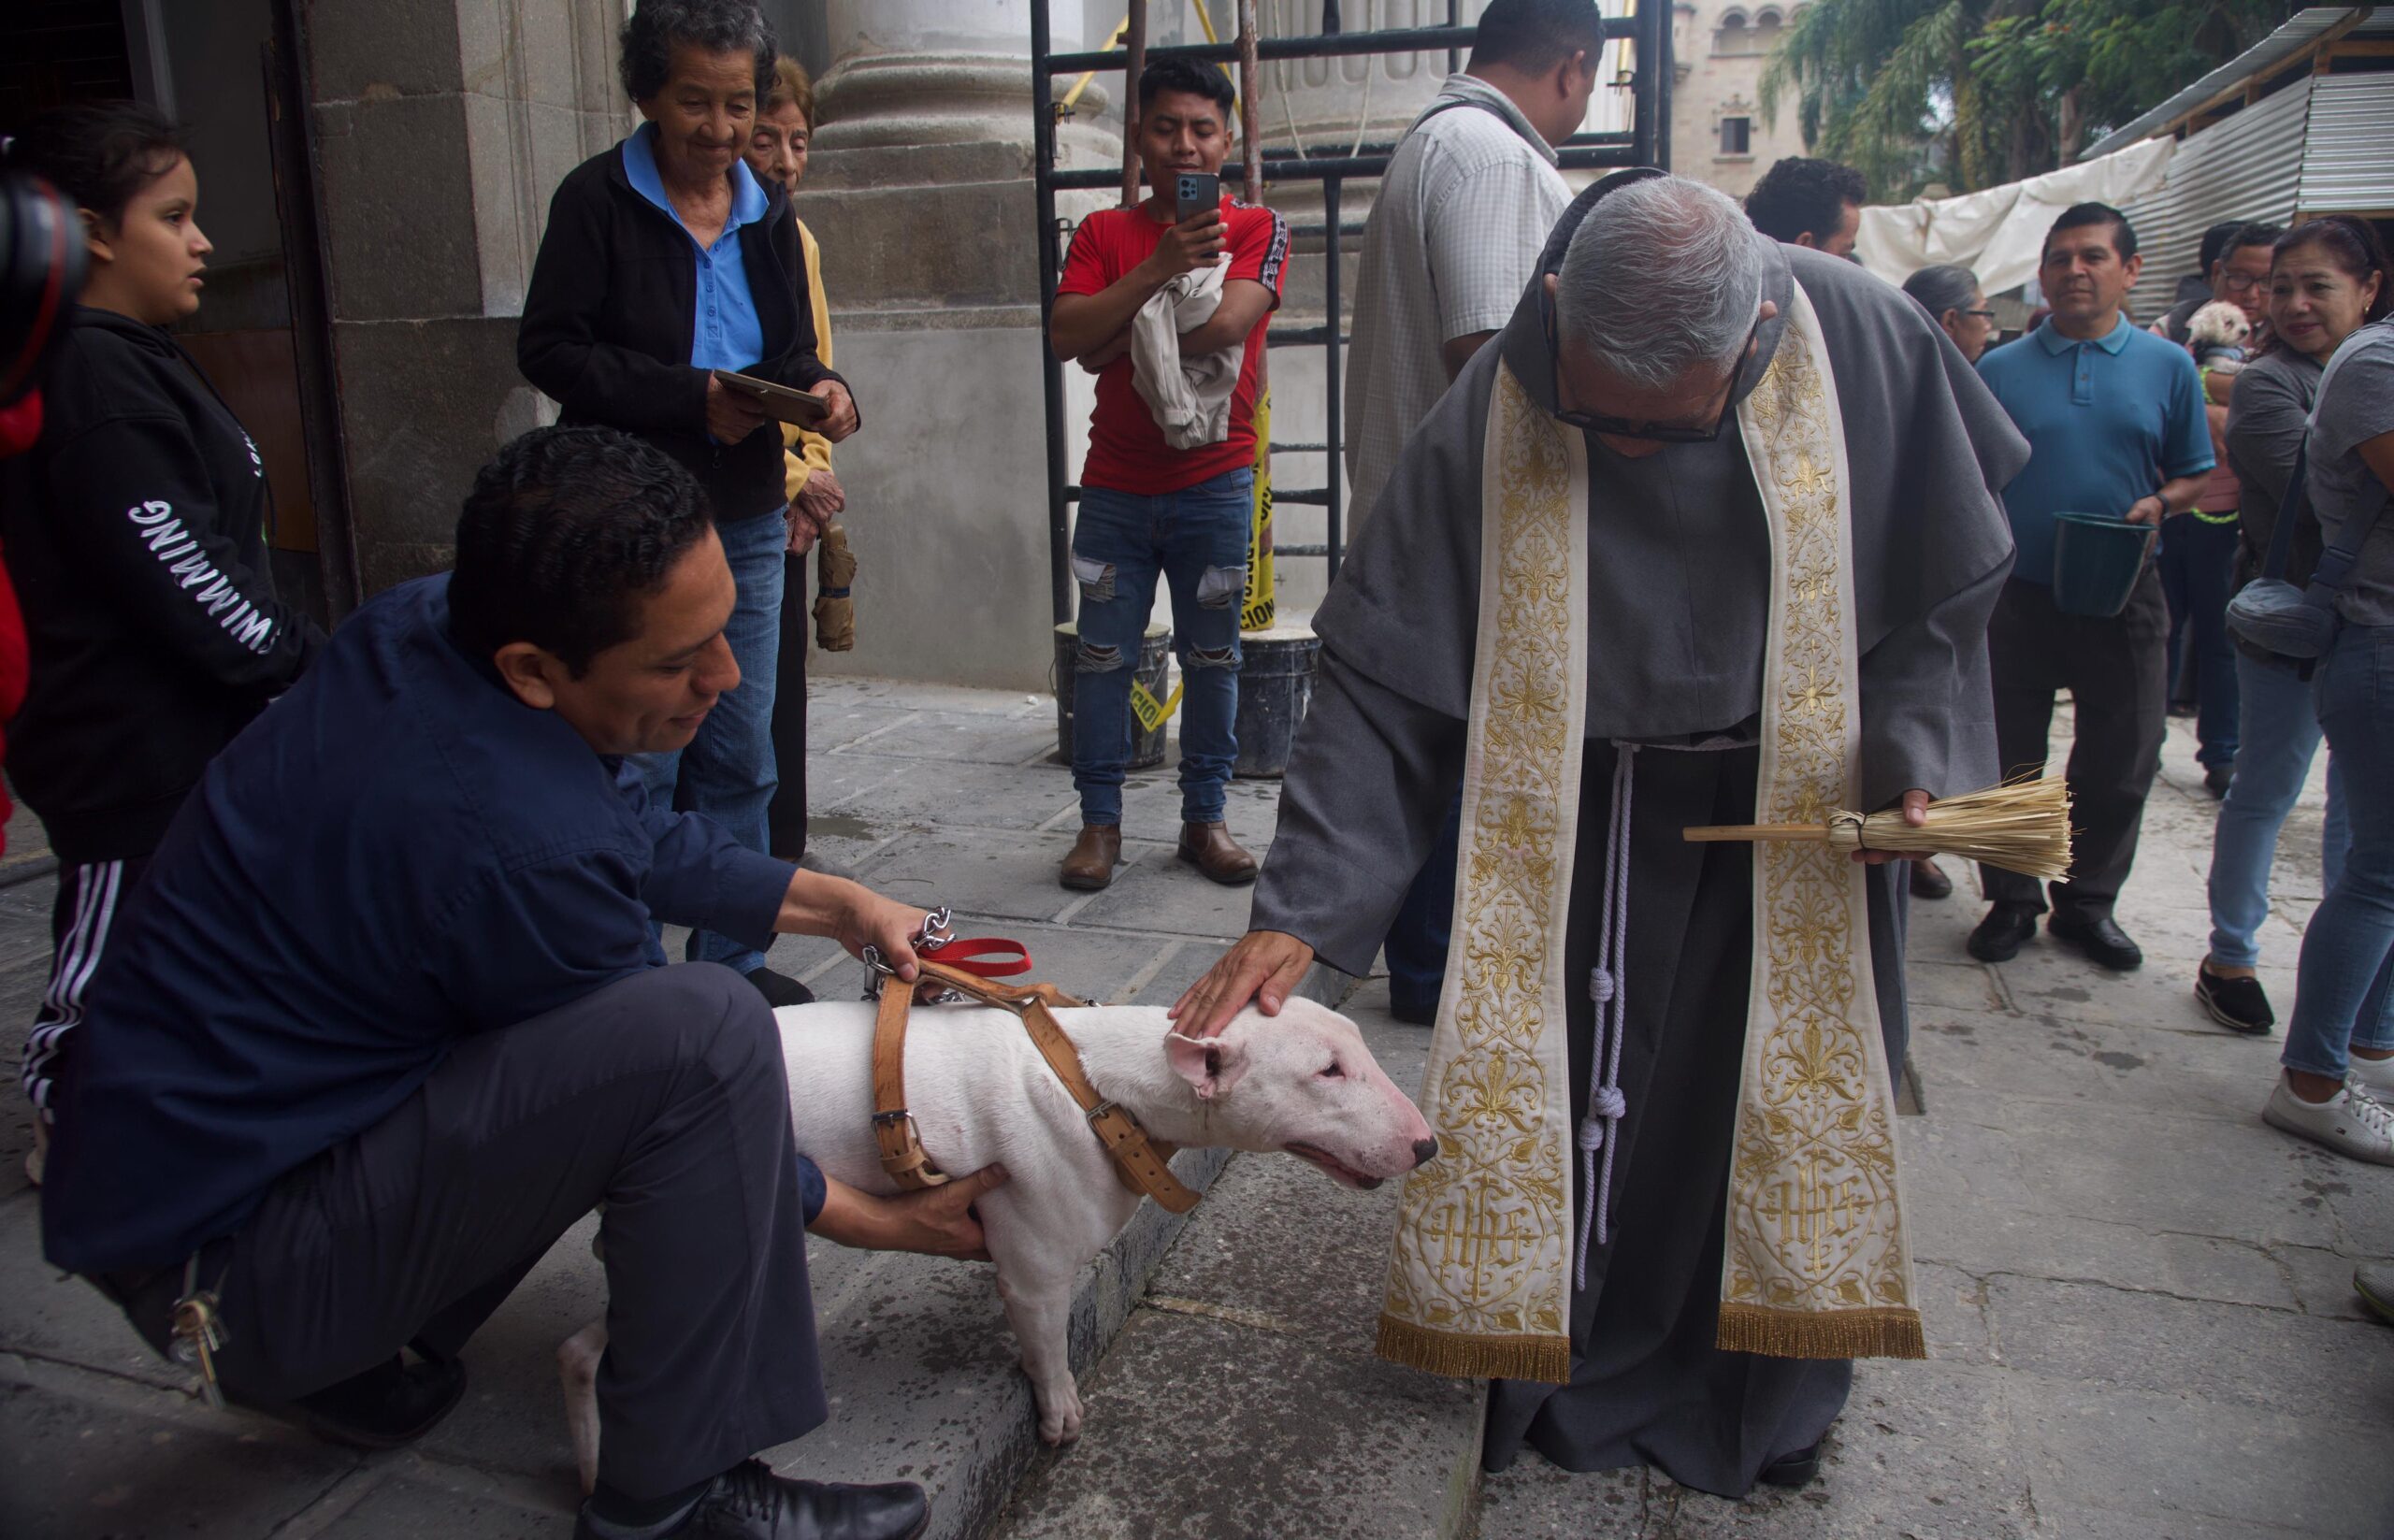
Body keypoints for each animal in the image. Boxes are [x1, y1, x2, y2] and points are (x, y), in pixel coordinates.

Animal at [550, 996, 1426, 1485]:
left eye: (1356, 1046)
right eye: (1327, 1070)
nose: (1427, 1145)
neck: (1102, 1083)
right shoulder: (1032, 1258)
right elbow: (1044, 1334)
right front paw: (1060, 1411)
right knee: (605, 1349)